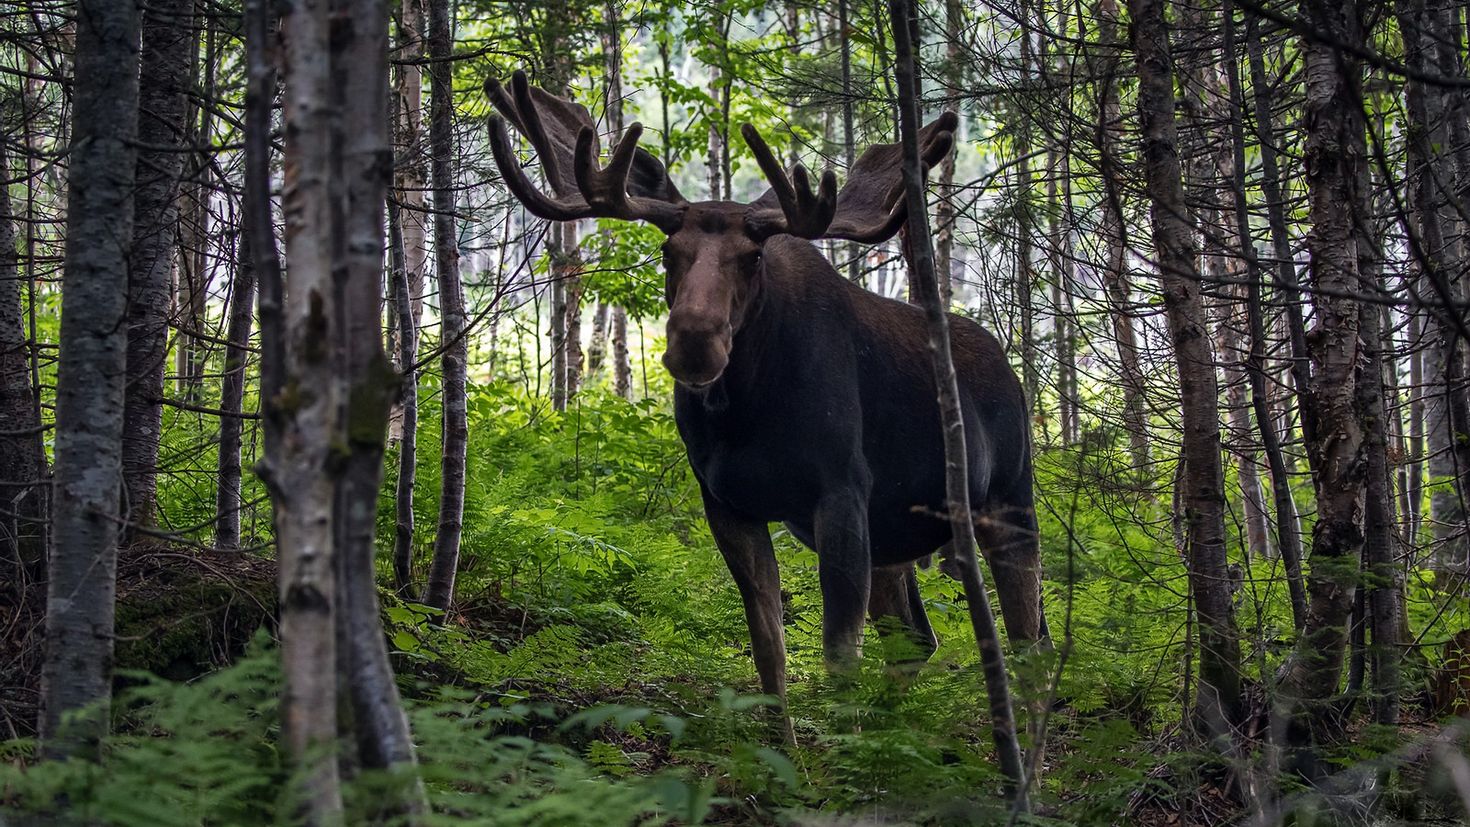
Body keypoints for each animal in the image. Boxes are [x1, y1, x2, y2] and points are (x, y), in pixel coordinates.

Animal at [488, 69, 1052, 731]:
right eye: (667, 252)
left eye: (753, 256)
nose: (694, 341)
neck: (747, 412)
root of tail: (1010, 371)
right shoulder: (729, 504)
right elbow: (769, 652)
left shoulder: (842, 494)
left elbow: (838, 658)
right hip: (897, 534)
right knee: (918, 639)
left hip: (1008, 500)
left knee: (1030, 644)